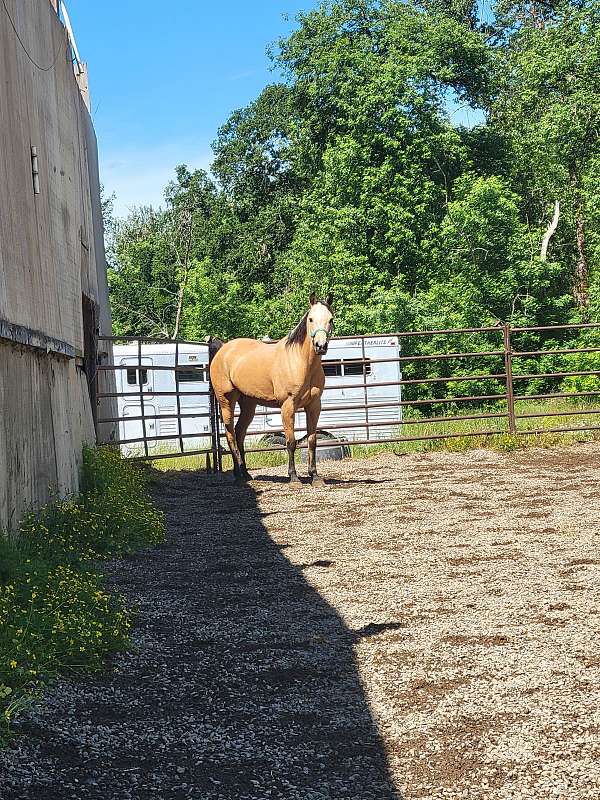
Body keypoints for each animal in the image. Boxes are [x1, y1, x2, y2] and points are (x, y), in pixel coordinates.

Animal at [210, 292, 332, 484]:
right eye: (311, 319)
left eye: (331, 319)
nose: (320, 346)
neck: (300, 362)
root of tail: (223, 349)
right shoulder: (288, 406)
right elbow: (291, 442)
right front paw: (294, 477)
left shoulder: (314, 406)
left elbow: (312, 441)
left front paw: (315, 476)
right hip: (226, 401)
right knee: (230, 435)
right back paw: (237, 474)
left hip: (248, 405)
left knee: (240, 433)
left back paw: (245, 473)